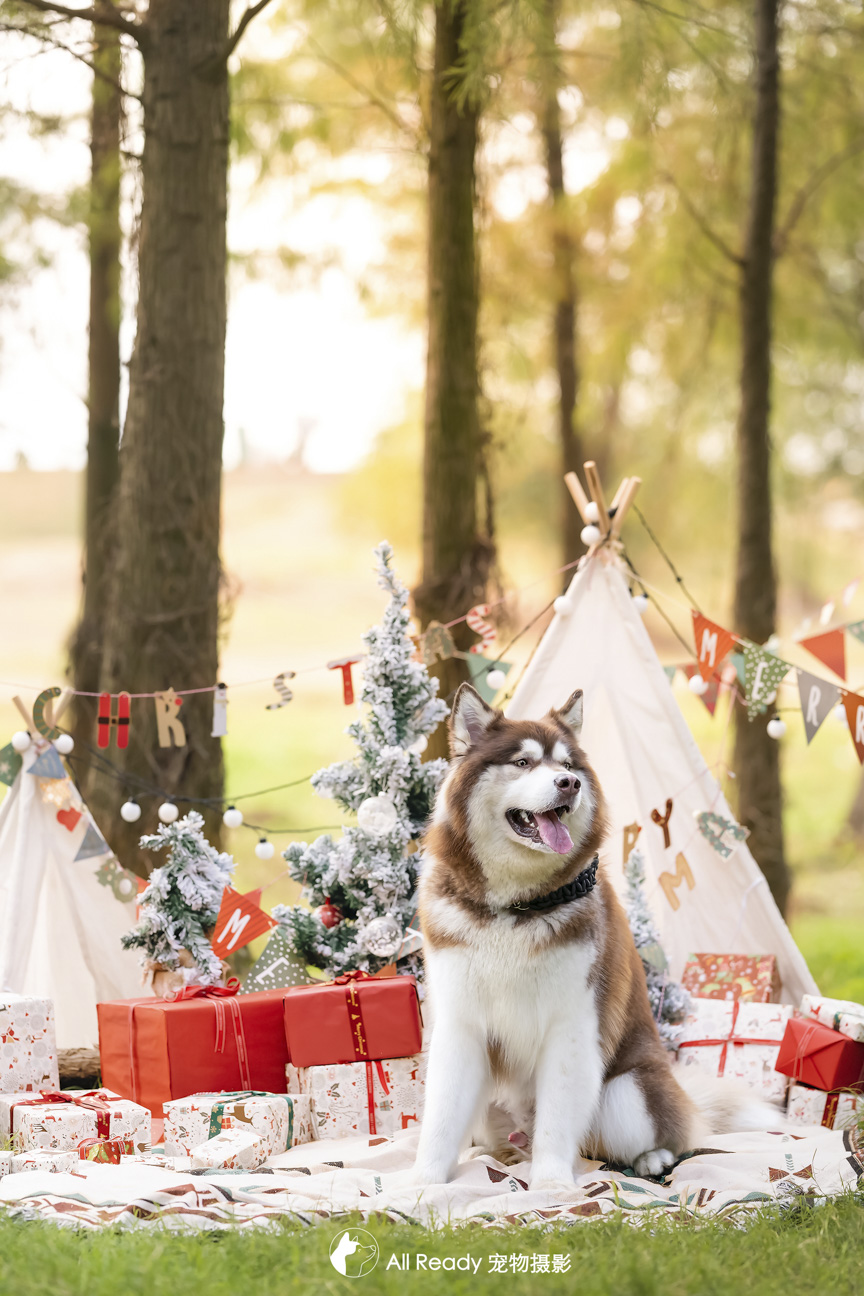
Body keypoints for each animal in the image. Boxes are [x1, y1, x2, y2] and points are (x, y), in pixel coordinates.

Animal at [414, 684, 772, 1187]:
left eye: (567, 765)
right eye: (523, 762)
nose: (570, 784)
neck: (516, 907)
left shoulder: (572, 1023)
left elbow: (557, 1119)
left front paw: (549, 1183)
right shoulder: (460, 1022)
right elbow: (442, 1115)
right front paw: (425, 1182)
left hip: (628, 1093)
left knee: (642, 1138)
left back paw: (651, 1159)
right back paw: (498, 1156)